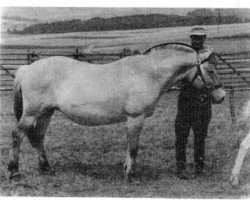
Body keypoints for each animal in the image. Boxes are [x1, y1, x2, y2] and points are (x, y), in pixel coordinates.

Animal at [8, 44, 227, 182]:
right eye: (211, 70)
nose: (221, 96)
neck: (148, 73)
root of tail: (27, 68)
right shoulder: (136, 119)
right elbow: (133, 148)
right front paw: (130, 176)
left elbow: (129, 147)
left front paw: (126, 169)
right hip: (32, 113)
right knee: (18, 135)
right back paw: (14, 172)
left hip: (46, 113)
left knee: (38, 137)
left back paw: (46, 168)